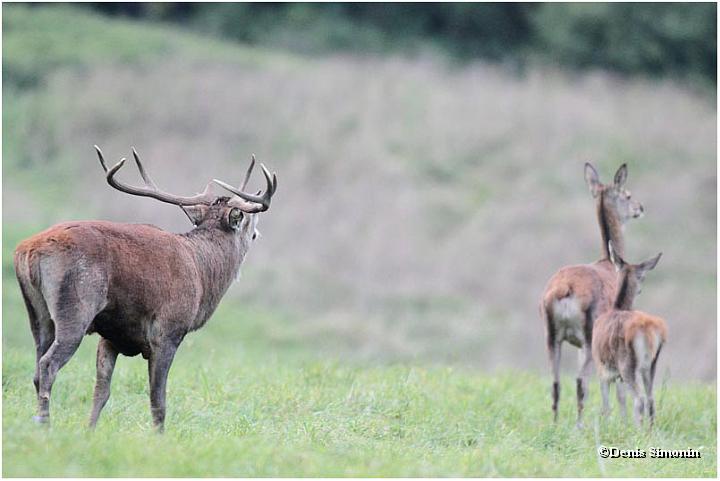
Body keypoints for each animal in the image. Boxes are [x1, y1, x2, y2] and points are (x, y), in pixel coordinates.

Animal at [13, 146, 277, 431]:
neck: (203, 274)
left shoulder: (111, 336)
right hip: (76, 306)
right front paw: (159, 437)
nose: (257, 233)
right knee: (48, 364)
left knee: (37, 366)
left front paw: (90, 431)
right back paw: (45, 425)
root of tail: (28, 250)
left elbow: (101, 392)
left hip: (38, 314)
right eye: (249, 219)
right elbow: (157, 398)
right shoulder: (167, 330)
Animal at [540, 163, 644, 428]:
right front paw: (622, 422)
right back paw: (579, 426)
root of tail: (564, 289)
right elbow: (617, 388)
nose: (640, 207)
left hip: (551, 336)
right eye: (627, 194)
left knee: (555, 383)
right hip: (588, 334)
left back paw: (555, 424)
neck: (610, 262)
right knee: (580, 383)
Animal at [592, 243, 664, 426]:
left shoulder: (602, 368)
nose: (640, 290)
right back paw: (649, 429)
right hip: (650, 365)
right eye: (642, 276)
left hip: (627, 363)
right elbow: (621, 398)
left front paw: (608, 425)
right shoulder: (616, 374)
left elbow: (606, 404)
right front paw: (623, 425)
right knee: (651, 398)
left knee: (639, 399)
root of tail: (648, 330)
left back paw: (638, 429)